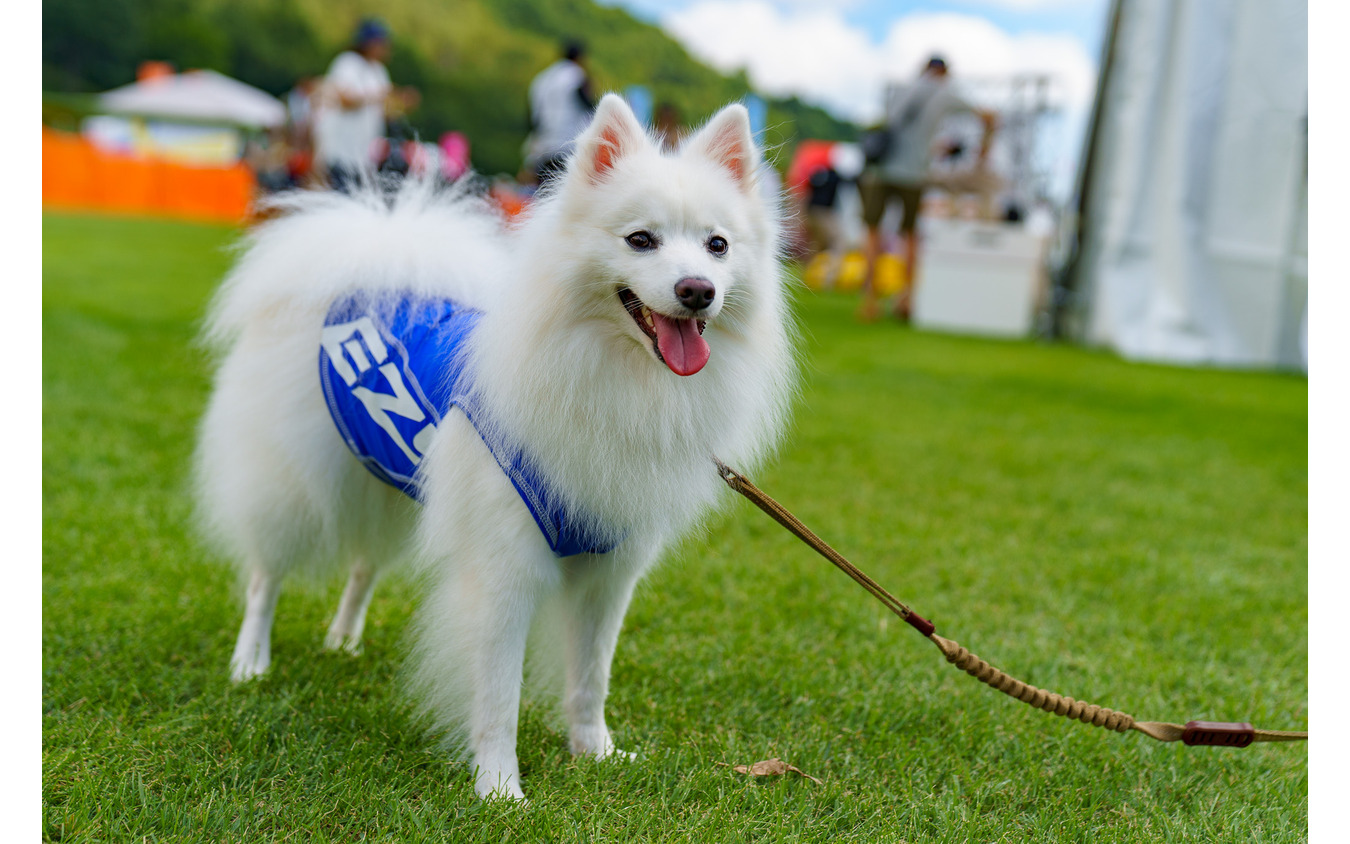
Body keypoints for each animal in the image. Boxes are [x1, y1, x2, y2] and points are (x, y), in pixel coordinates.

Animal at [195, 95, 793, 799]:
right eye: (640, 240)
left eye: (717, 245)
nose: (698, 289)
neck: (619, 380)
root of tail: (371, 266)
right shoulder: (507, 567)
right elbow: (499, 694)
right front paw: (501, 791)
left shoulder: (610, 568)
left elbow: (591, 677)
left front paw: (595, 753)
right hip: (295, 485)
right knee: (265, 577)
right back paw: (250, 663)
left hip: (390, 483)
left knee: (364, 565)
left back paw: (342, 639)